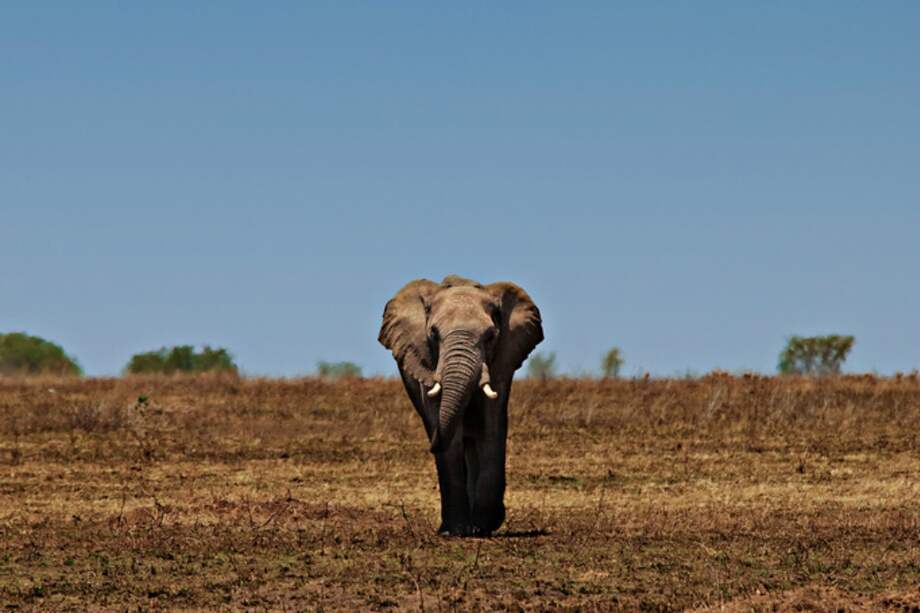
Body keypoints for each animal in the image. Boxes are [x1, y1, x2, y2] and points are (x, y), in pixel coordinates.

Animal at [378, 275, 543, 536]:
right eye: (433, 334)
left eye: (490, 336)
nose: (431, 445)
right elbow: (449, 434)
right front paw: (455, 531)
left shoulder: (501, 361)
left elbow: (491, 428)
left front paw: (484, 526)